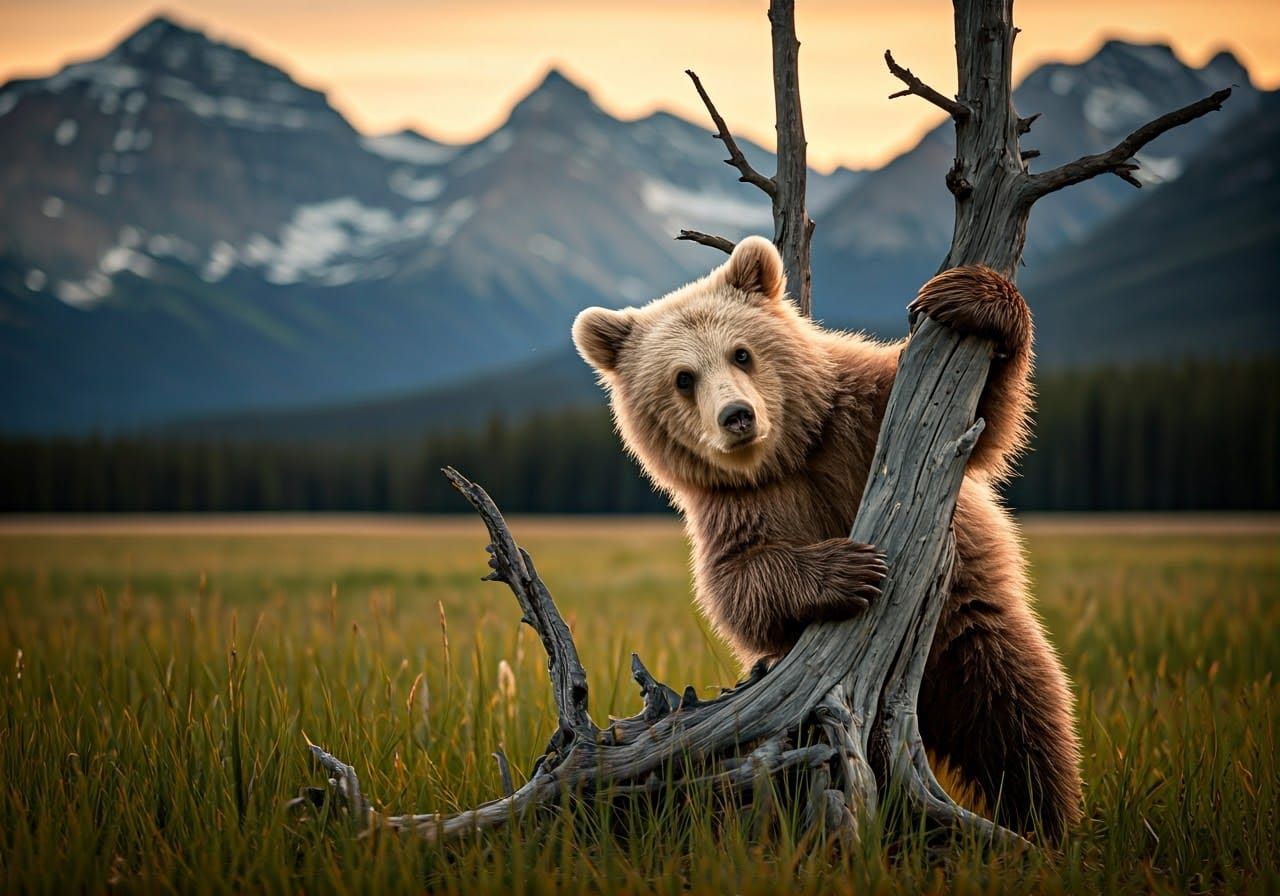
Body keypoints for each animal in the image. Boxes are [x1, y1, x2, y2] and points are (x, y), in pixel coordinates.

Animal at [571, 236, 1083, 839]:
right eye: (683, 377)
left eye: (741, 353)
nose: (737, 415)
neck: (790, 455)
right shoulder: (739, 506)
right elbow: (740, 586)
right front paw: (850, 570)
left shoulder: (865, 420)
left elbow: (982, 419)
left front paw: (969, 296)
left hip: (965, 631)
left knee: (1019, 716)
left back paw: (1050, 822)